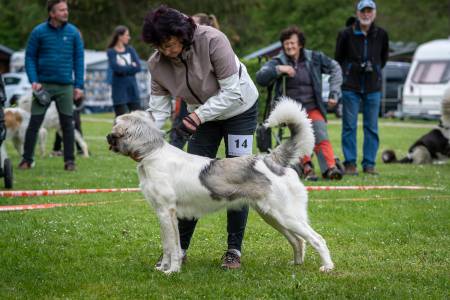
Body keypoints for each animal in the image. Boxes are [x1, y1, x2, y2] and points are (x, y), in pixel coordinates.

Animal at [107, 98, 334, 274]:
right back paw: (296, 264)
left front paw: (171, 271)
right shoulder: (163, 214)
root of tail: (273, 160)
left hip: (286, 216)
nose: (108, 137)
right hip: (273, 216)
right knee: (298, 241)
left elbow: (172, 247)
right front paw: (163, 268)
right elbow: (168, 246)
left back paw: (327, 268)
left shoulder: (166, 212)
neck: (152, 153)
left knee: (317, 239)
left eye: (116, 127)